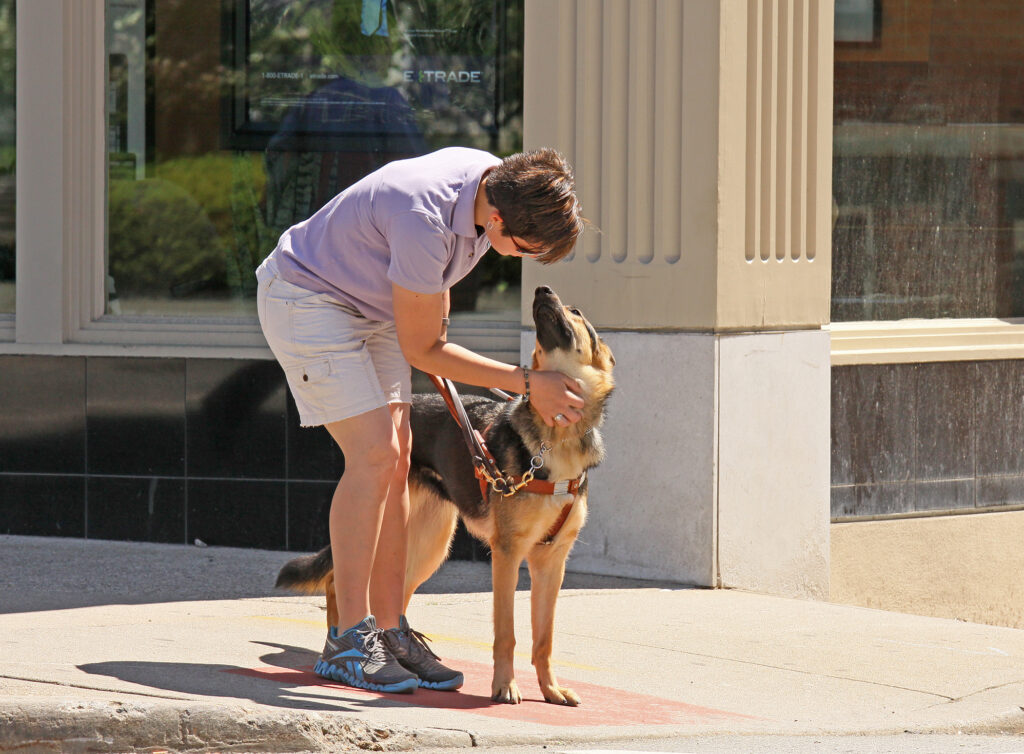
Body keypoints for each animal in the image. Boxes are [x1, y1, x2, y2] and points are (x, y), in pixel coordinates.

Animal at [276, 284, 614, 704]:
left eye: (576, 311)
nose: (540, 289)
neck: (556, 439)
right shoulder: (507, 555)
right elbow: (507, 633)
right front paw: (505, 685)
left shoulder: (551, 562)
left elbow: (544, 638)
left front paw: (550, 689)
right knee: (338, 580)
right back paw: (338, 655)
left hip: (425, 544)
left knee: (392, 593)